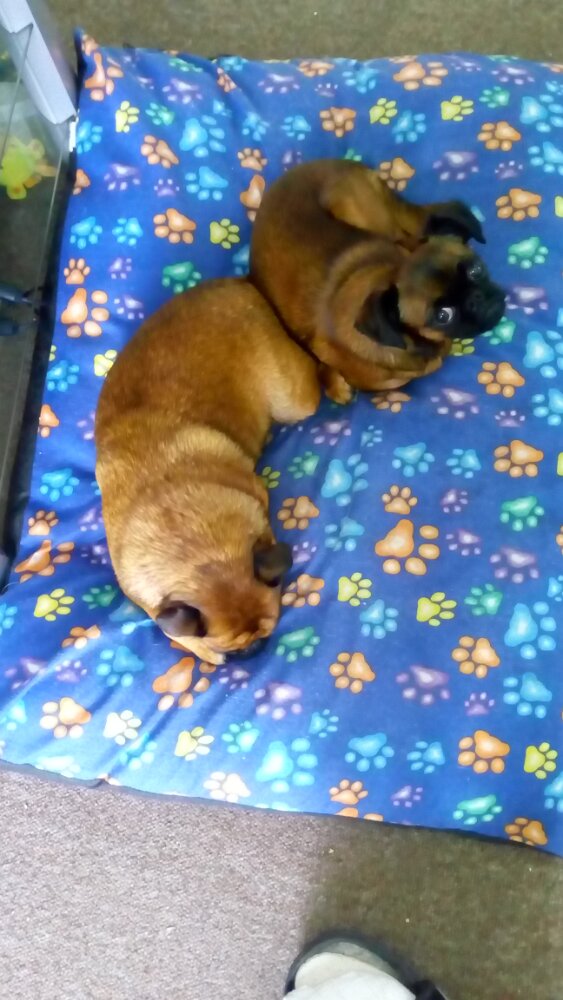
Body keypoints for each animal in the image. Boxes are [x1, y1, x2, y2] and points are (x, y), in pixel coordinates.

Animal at [95, 278, 320, 664]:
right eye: (228, 647)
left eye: (266, 630)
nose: (252, 651)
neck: (199, 551)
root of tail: (239, 283)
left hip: (294, 400)